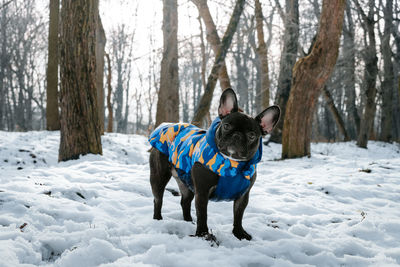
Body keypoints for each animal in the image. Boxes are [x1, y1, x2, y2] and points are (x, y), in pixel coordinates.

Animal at [148, 89, 280, 242]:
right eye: (226, 126)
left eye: (252, 135)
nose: (237, 135)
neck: (231, 163)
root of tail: (167, 125)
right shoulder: (202, 192)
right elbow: (203, 215)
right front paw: (203, 234)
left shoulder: (243, 195)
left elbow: (238, 215)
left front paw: (239, 233)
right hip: (159, 177)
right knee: (158, 200)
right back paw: (158, 219)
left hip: (186, 183)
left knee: (185, 202)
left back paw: (188, 221)